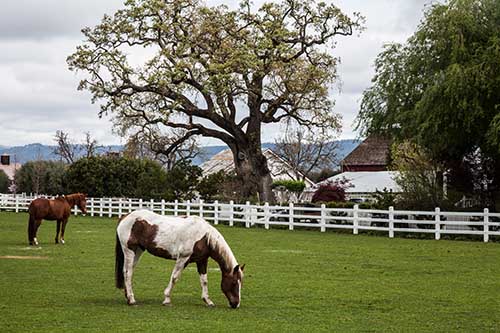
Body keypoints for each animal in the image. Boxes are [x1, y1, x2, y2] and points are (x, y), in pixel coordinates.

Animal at [115, 209, 244, 308]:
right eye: (234, 283)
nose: (236, 304)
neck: (204, 237)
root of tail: (125, 216)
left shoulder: (202, 261)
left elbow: (204, 281)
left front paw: (208, 301)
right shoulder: (183, 259)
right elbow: (174, 278)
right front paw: (167, 299)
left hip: (138, 251)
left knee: (129, 272)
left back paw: (128, 297)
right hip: (129, 250)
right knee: (127, 272)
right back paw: (131, 300)